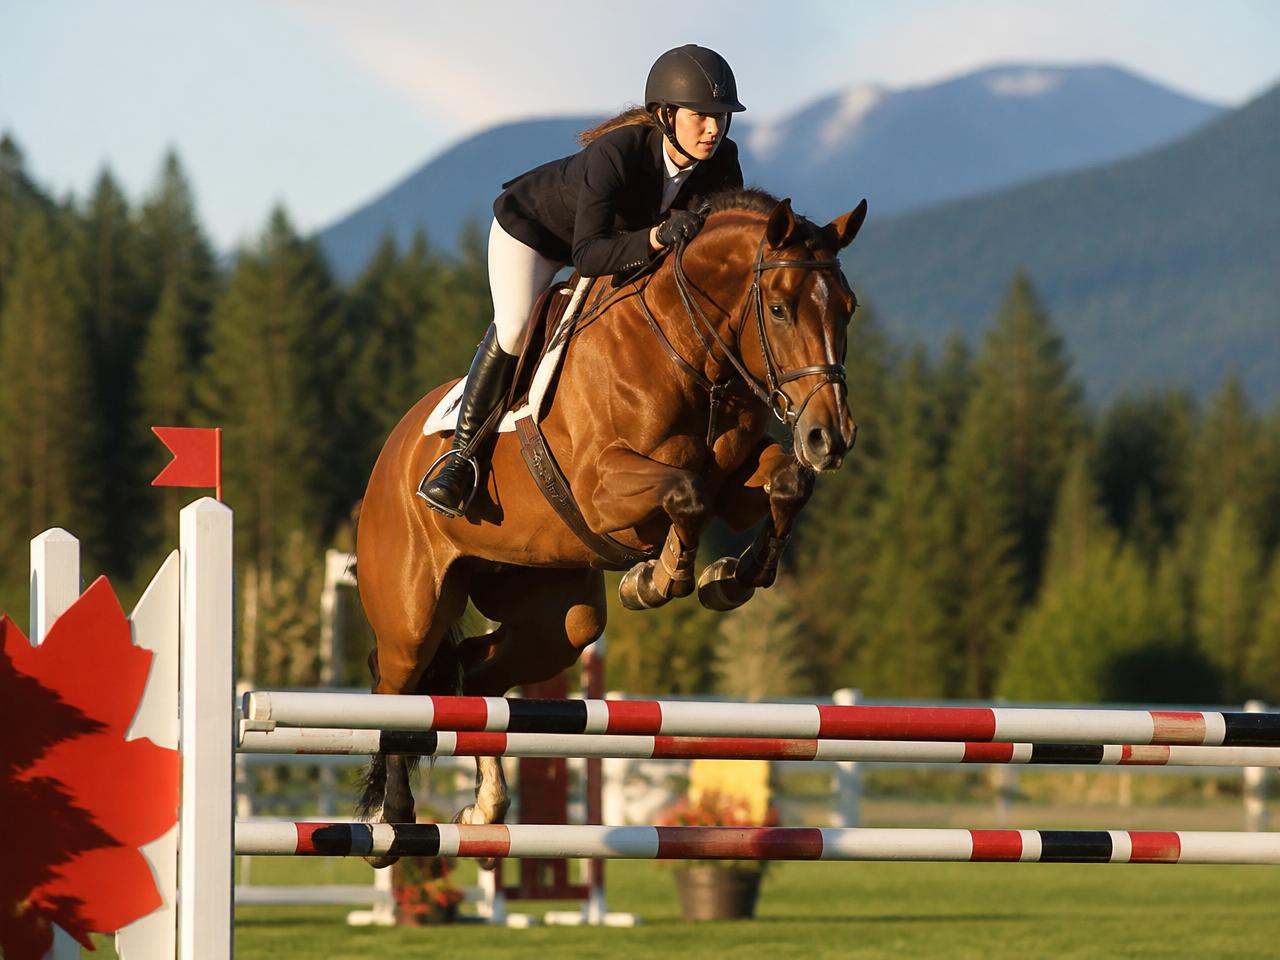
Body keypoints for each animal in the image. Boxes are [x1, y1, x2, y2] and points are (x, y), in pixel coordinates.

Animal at [354, 188, 866, 867]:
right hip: (413, 612)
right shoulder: (603, 488)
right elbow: (685, 493)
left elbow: (783, 484)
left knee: (479, 674)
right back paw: (393, 820)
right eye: (779, 309)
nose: (830, 437)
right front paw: (658, 578)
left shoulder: (736, 482)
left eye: (848, 310)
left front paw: (731, 577)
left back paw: (485, 809)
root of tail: (391, 454)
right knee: (398, 687)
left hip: (556, 617)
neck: (688, 350)